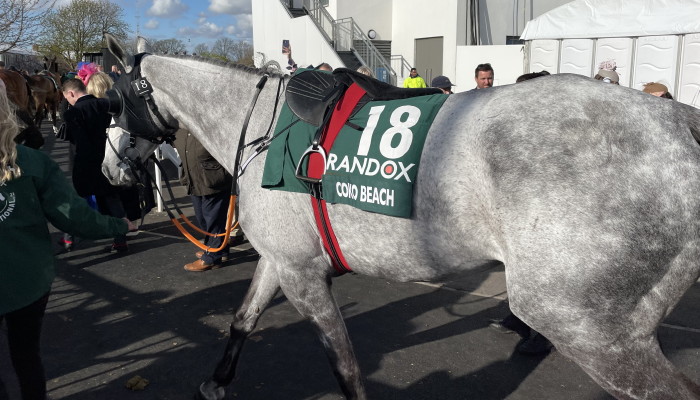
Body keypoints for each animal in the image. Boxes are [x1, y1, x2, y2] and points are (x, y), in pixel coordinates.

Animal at [101, 35, 700, 400]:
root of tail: (679, 121)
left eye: (113, 100)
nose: (112, 169)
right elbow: (242, 320)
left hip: (589, 327)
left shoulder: (302, 276)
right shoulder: (283, 260)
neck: (263, 129)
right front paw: (216, 381)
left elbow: (344, 365)